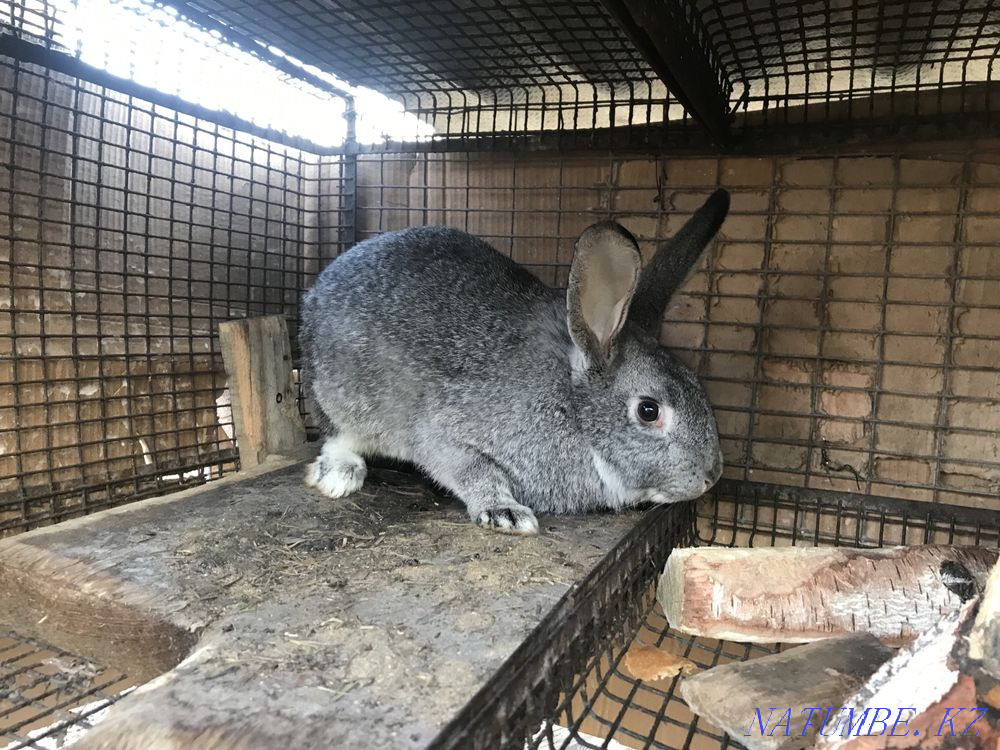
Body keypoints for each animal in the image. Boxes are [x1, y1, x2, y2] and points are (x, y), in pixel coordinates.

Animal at [299, 189, 730, 534]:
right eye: (648, 410)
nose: (711, 477)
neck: (571, 406)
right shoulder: (444, 433)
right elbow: (472, 468)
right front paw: (504, 512)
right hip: (344, 398)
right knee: (339, 436)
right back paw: (339, 476)